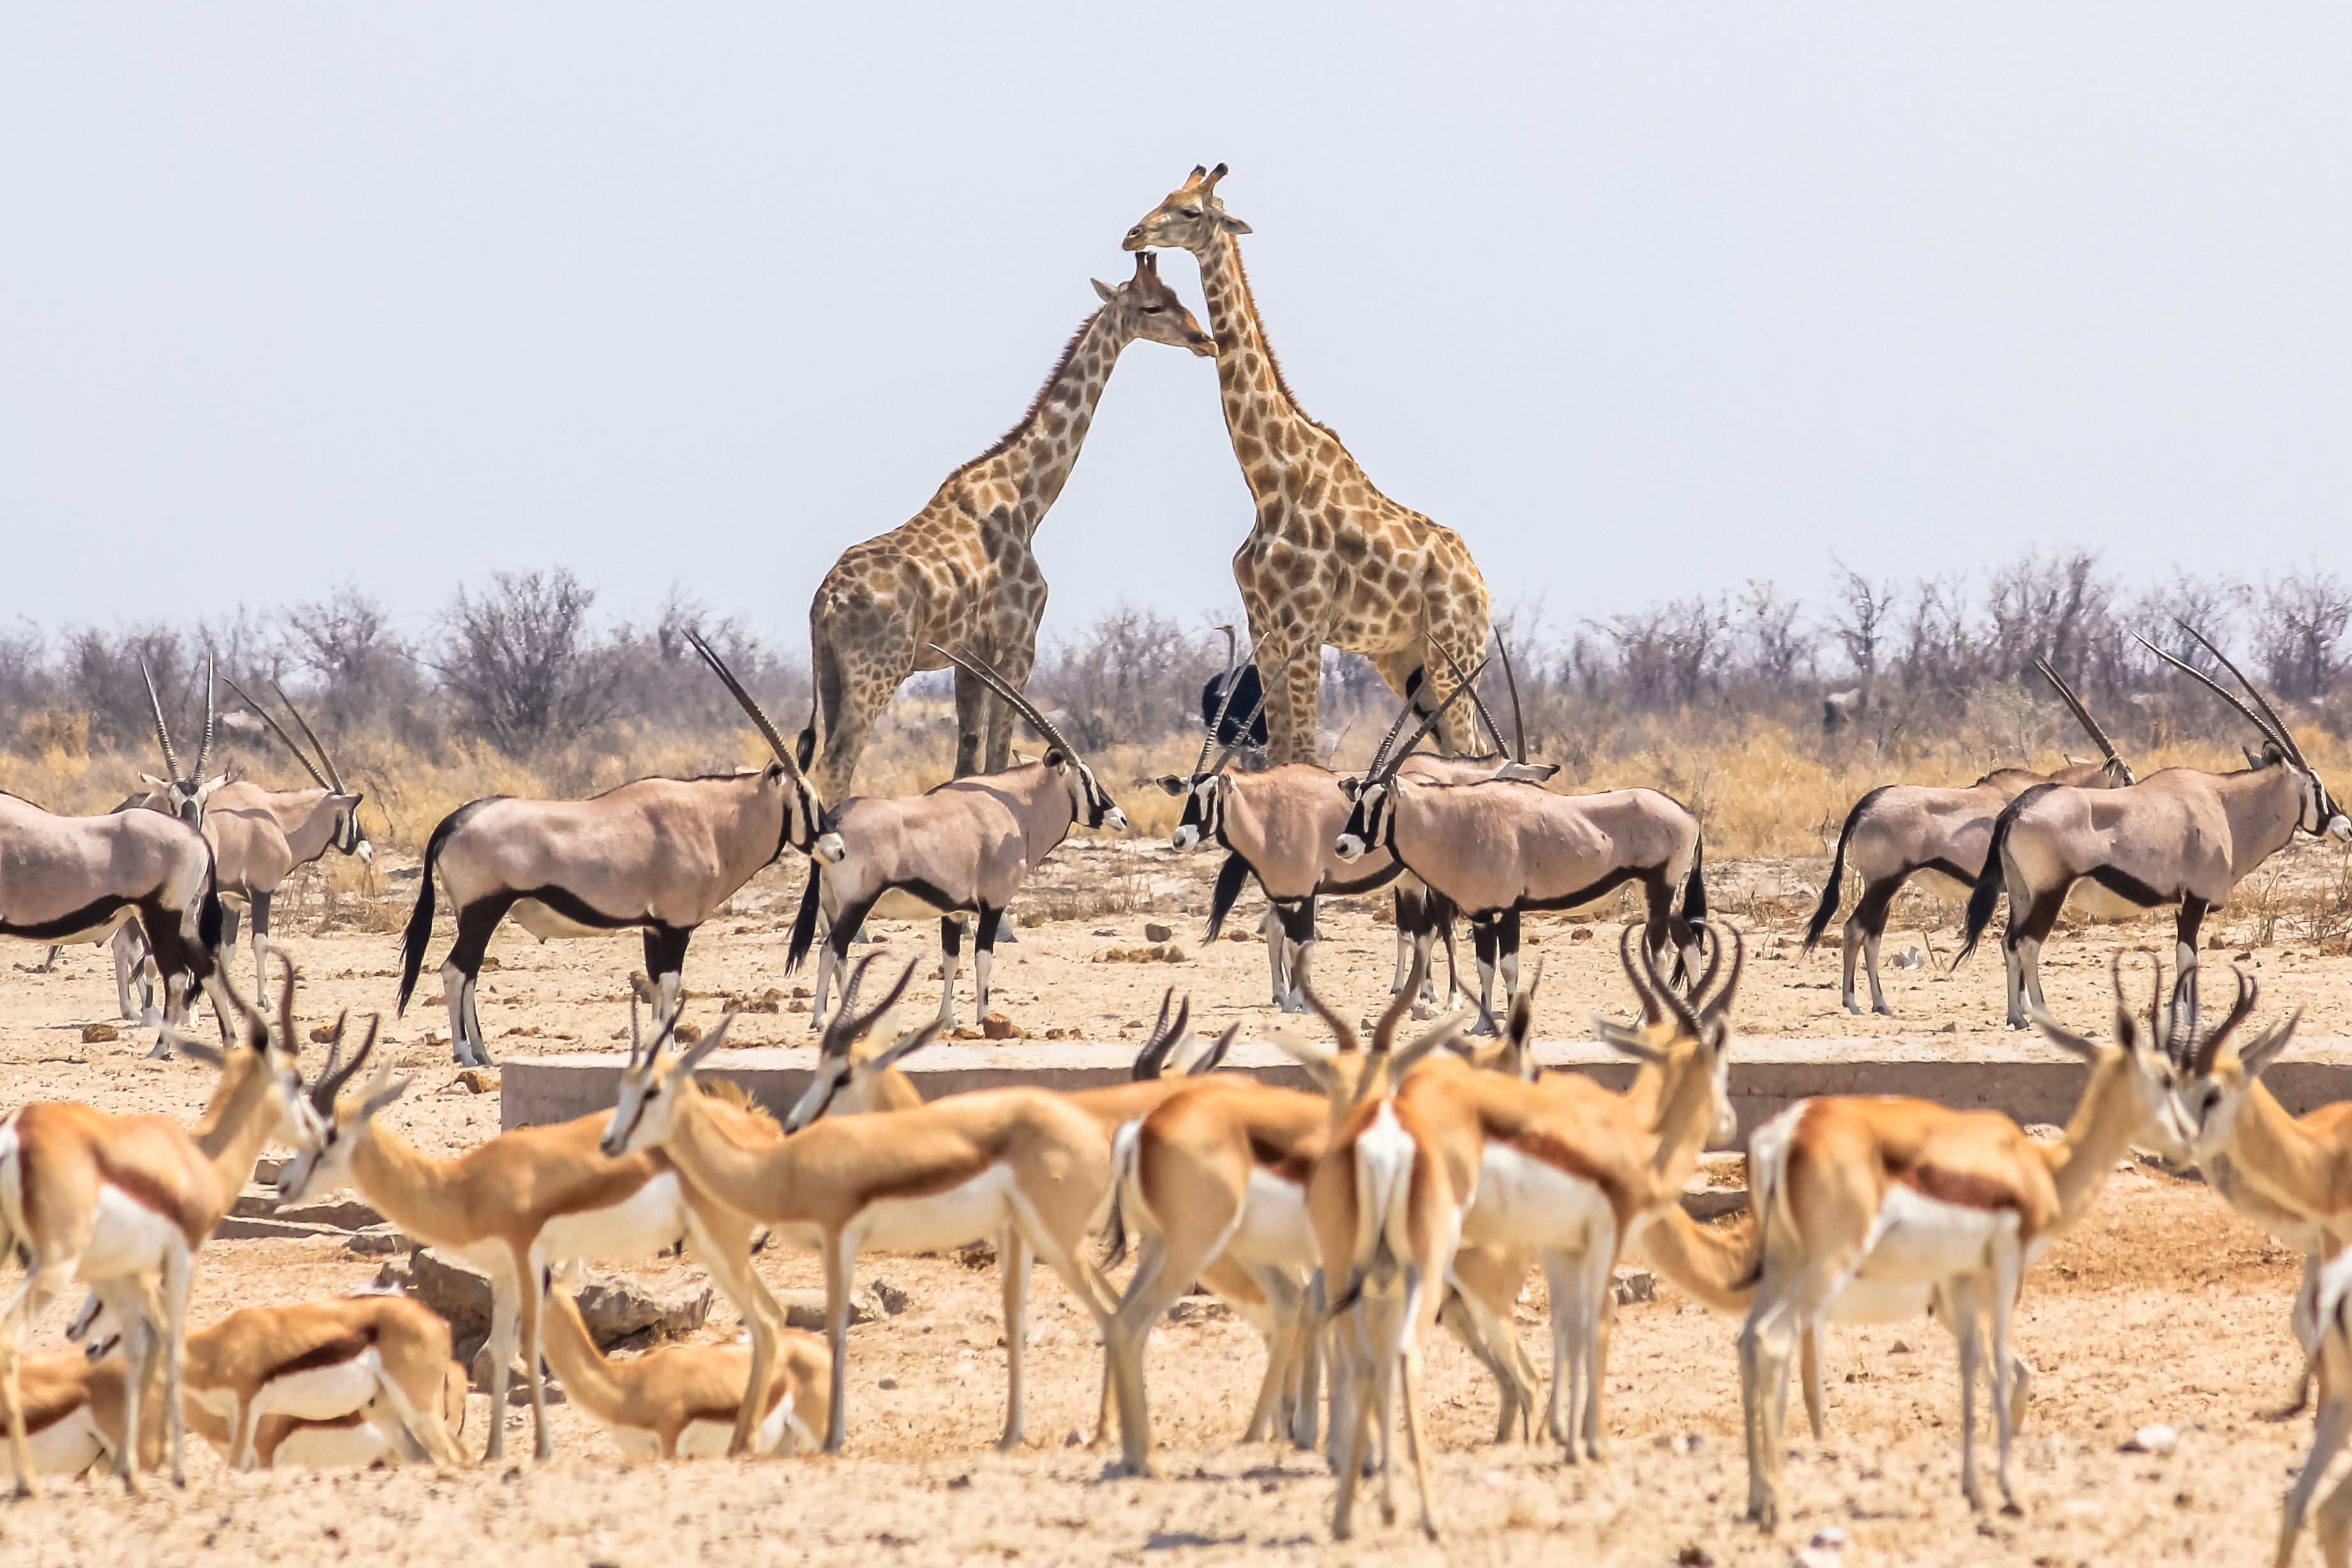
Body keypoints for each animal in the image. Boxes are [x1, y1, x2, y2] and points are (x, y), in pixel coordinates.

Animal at [804, 256, 1213, 803]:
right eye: (1152, 306)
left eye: (1177, 295)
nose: (1203, 339)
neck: (1026, 497)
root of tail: (825, 601)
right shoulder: (1019, 643)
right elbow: (998, 757)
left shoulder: (967, 657)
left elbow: (966, 762)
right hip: (877, 671)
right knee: (836, 765)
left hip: (830, 671)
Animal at [1120, 165, 1486, 766]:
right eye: (1165, 196)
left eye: (1190, 211)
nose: (1133, 234)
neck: (1269, 483)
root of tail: (1480, 585)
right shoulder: (1266, 629)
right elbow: (1282, 753)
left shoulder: (1305, 627)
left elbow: (1305, 755)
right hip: (1407, 661)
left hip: (1456, 653)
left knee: (1475, 750)